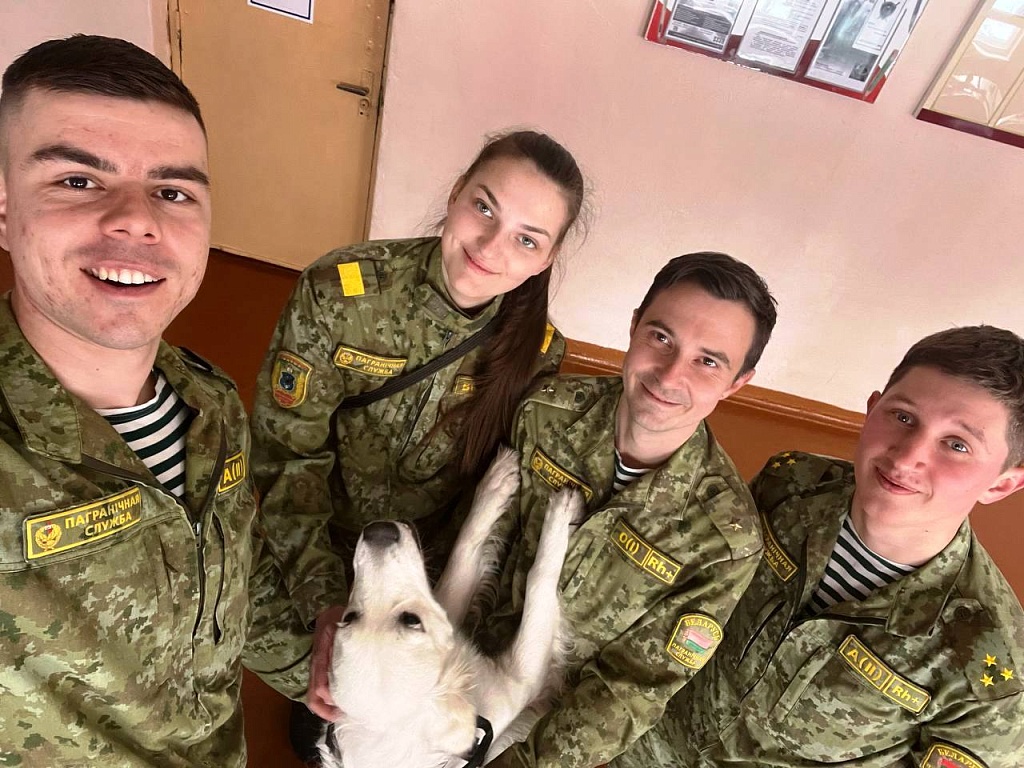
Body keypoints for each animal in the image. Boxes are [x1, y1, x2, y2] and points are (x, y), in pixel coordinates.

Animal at [319, 447, 581, 768]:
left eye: (349, 617)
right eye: (412, 620)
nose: (378, 530)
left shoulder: (445, 612)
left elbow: (464, 546)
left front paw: (495, 481)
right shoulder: (521, 678)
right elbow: (538, 578)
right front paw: (561, 514)